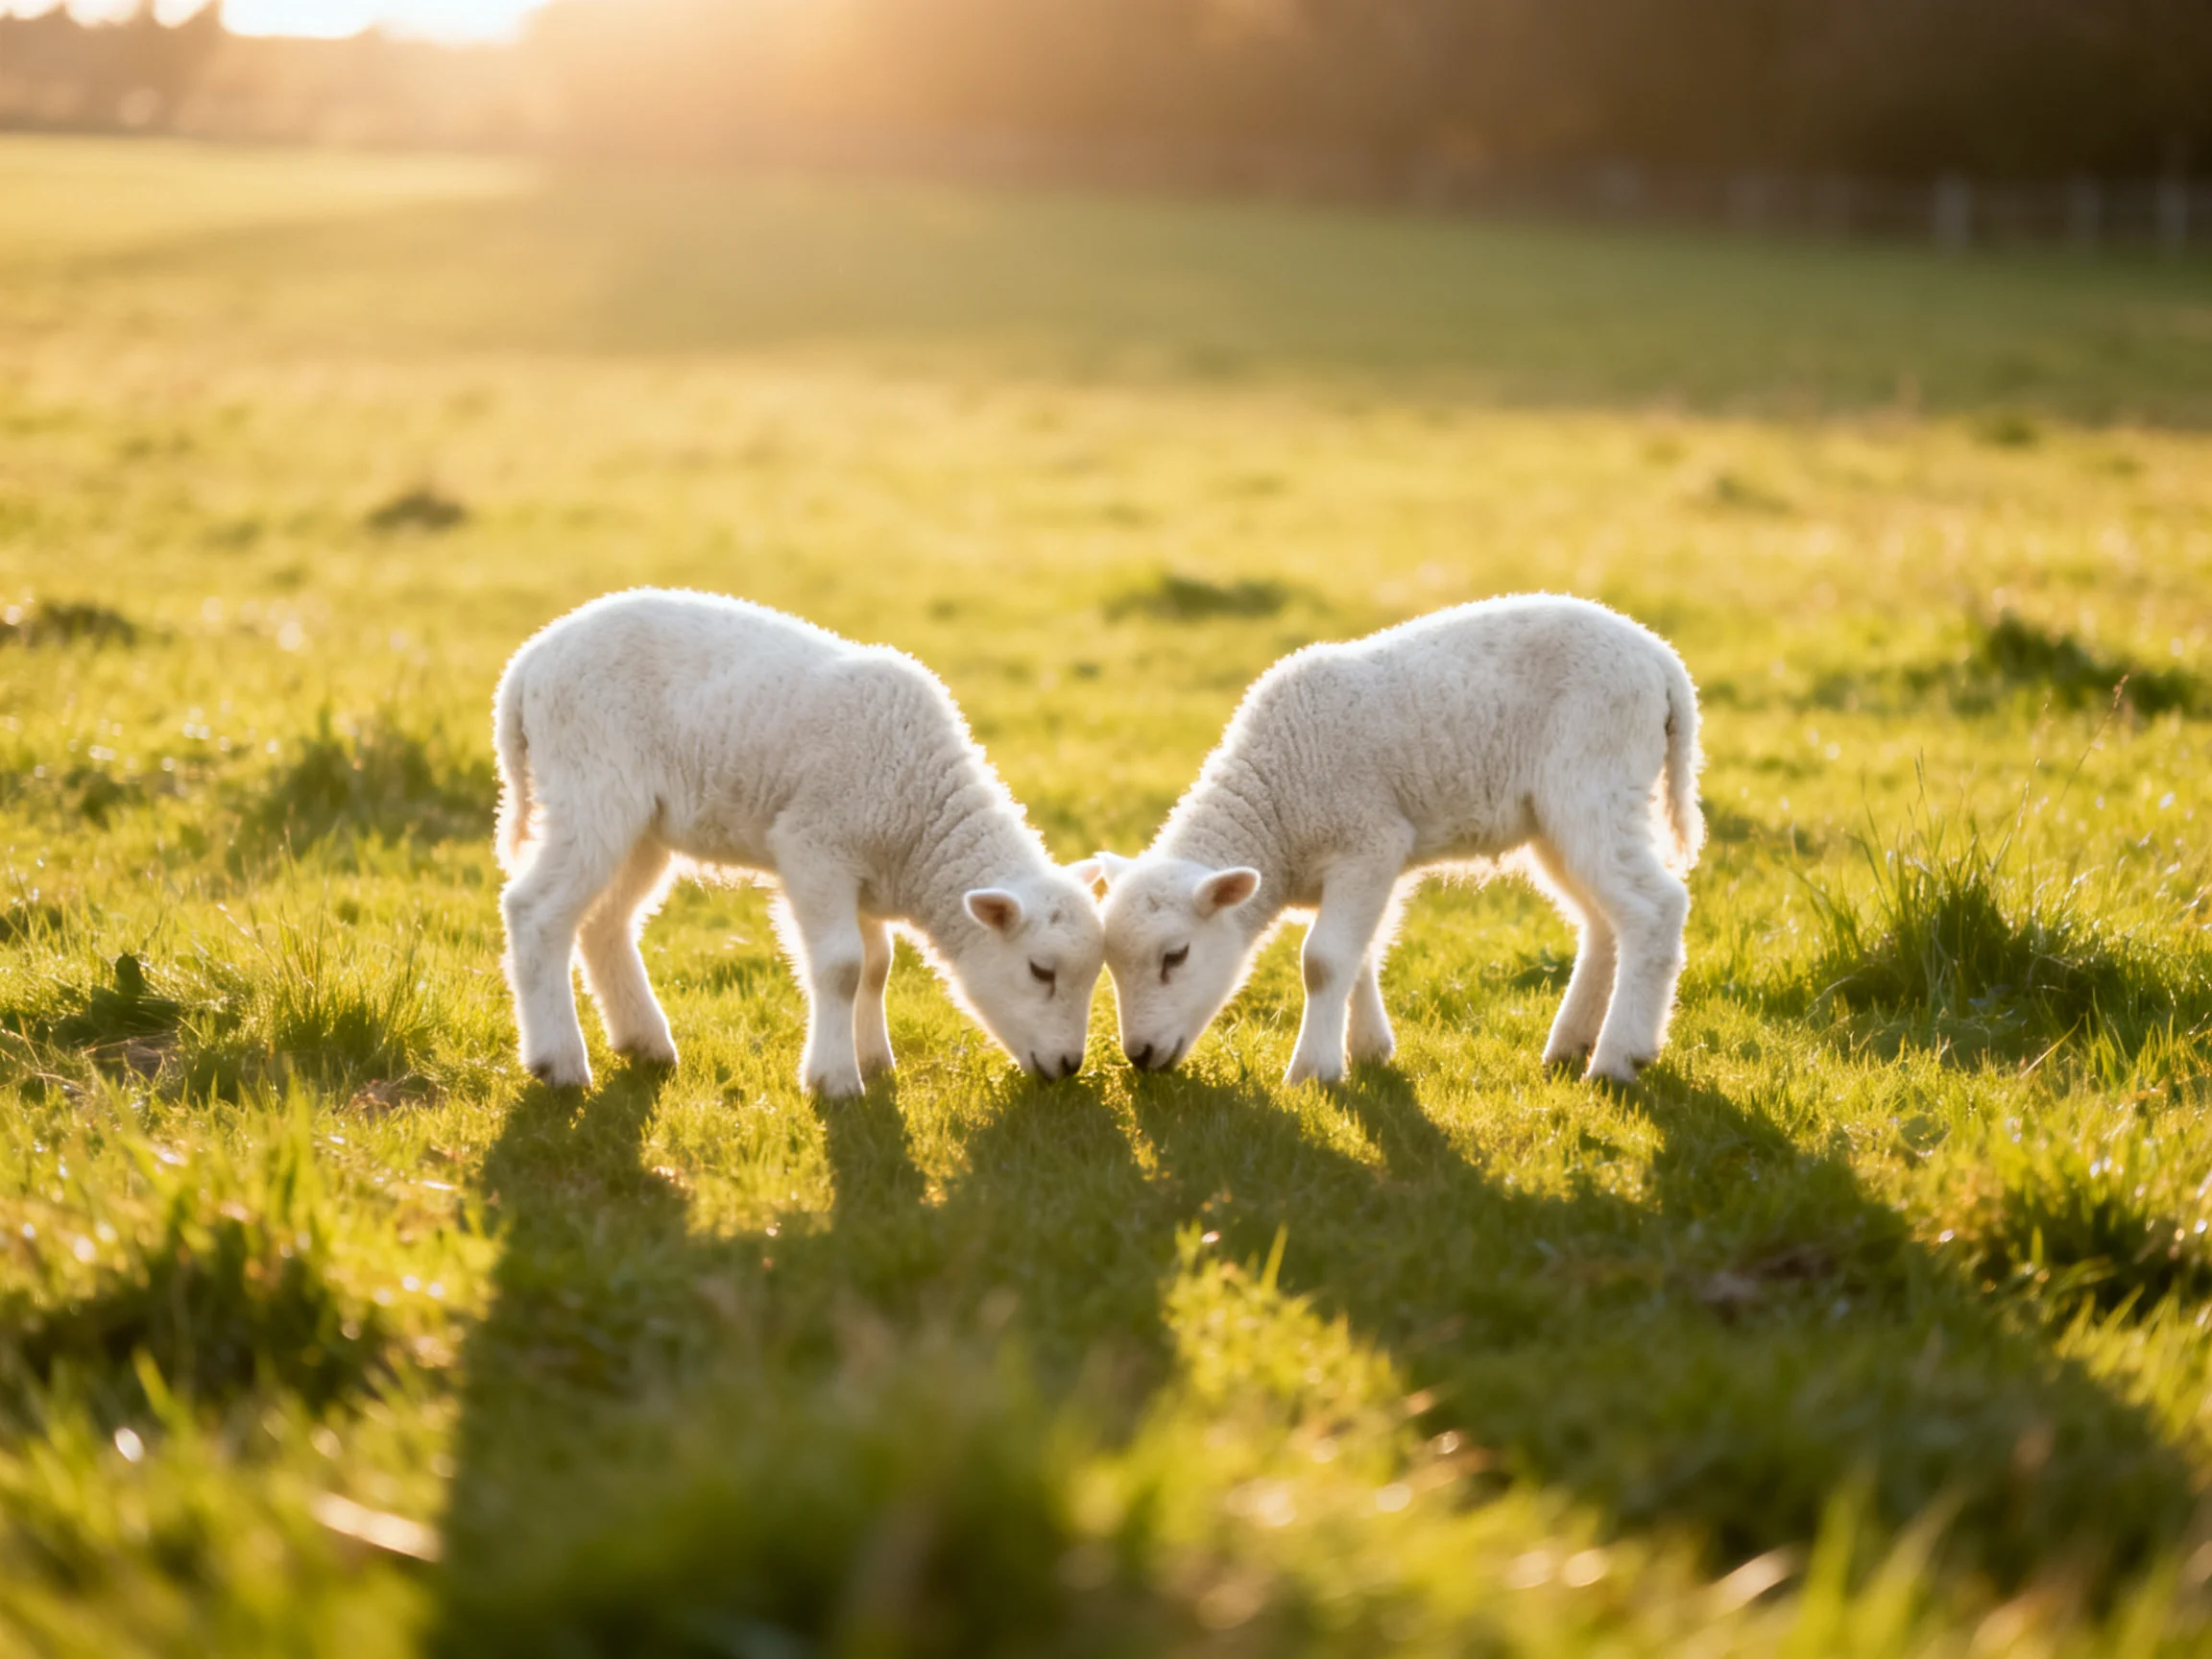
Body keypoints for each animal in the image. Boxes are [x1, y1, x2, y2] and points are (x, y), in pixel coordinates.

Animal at [492, 589, 1104, 1098]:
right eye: (1041, 971)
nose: (1068, 1066)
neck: (920, 825)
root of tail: (529, 661)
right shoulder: (815, 849)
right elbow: (842, 967)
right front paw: (836, 1080)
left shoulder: (864, 870)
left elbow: (877, 965)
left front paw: (874, 1059)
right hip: (591, 785)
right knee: (536, 911)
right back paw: (559, 1062)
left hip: (643, 826)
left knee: (604, 923)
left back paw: (644, 1043)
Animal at [1095, 593, 1703, 1087]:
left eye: (1175, 956)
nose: (1140, 1055)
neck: (1276, 806)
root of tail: (1662, 661)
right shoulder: (1365, 864)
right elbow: (1356, 953)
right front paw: (1368, 1050)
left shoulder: (1367, 840)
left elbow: (1322, 961)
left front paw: (1312, 1071)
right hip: (1557, 820)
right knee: (1603, 921)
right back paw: (1570, 1044)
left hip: (1595, 781)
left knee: (1655, 908)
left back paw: (1619, 1058)